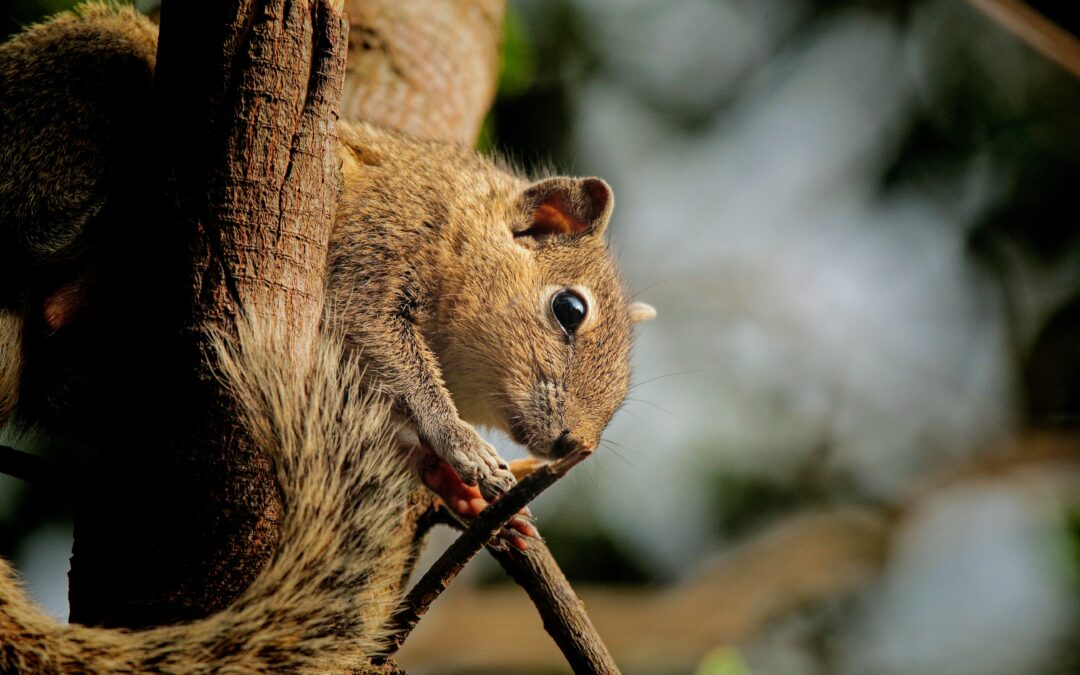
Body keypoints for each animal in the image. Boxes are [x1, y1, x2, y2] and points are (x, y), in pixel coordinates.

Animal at [0, 2, 655, 664]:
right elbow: (383, 340)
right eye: (569, 309)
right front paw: (464, 448)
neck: (451, 216)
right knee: (41, 223)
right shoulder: (375, 242)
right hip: (87, 72)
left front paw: (462, 491)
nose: (575, 443)